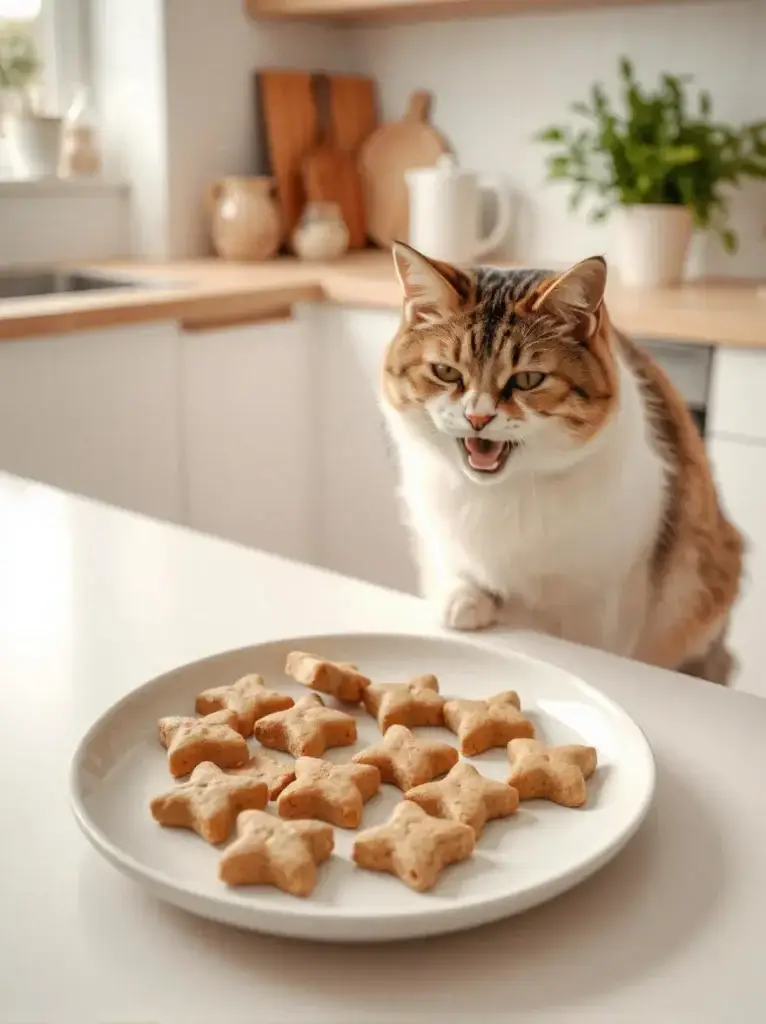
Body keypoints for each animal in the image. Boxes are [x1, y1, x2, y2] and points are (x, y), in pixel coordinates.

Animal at [380, 242, 741, 684]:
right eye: (446, 372)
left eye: (527, 380)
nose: (477, 417)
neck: (507, 493)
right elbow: (454, 566)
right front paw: (463, 599)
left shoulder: (604, 600)